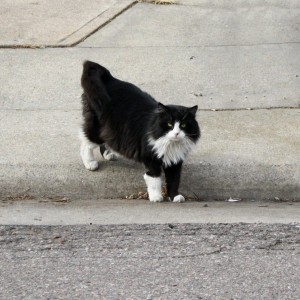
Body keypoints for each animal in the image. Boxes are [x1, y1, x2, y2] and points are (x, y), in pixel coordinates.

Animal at [79, 60, 199, 202]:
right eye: (169, 124)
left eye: (184, 125)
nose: (176, 133)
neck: (170, 144)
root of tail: (109, 78)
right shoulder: (151, 158)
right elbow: (154, 179)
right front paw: (156, 197)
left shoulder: (175, 162)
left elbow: (174, 180)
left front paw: (175, 197)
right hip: (97, 128)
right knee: (86, 143)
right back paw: (90, 163)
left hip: (110, 131)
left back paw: (109, 154)